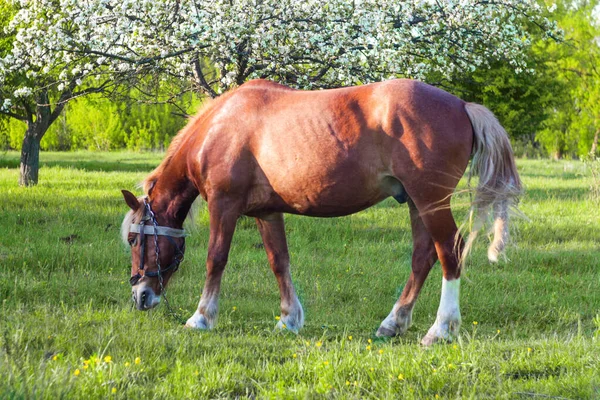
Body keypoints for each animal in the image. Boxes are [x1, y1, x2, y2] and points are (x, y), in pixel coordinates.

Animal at [120, 78, 520, 344]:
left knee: (449, 251)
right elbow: (279, 261)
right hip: (418, 203)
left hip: (429, 199)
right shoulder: (267, 213)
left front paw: (201, 317)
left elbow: (215, 260)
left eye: (134, 239)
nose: (140, 295)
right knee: (424, 256)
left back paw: (440, 329)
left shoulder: (224, 205)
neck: (221, 126)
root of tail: (462, 105)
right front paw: (289, 319)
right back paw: (393, 323)